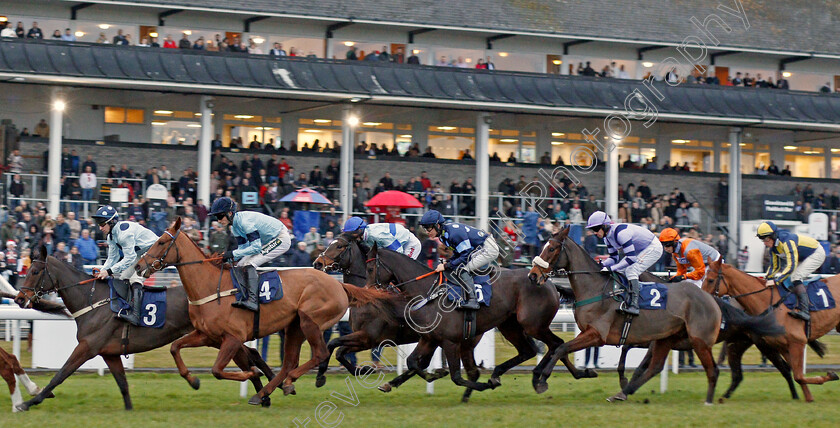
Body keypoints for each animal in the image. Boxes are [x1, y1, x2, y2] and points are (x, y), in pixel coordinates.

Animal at [13, 244, 276, 412]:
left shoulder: (87, 347)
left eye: (34, 271)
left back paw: (265, 390)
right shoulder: (109, 353)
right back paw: (267, 390)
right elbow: (122, 384)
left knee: (247, 357)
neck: (93, 300)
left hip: (218, 337)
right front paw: (129, 410)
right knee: (250, 354)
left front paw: (28, 403)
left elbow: (59, 375)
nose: (18, 299)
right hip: (215, 337)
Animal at [135, 217, 394, 404]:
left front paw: (251, 374)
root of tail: (339, 284)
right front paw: (193, 380)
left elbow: (218, 369)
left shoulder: (233, 337)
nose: (138, 266)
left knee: (319, 353)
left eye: (160, 242)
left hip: (309, 320)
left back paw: (285, 383)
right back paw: (268, 391)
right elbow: (175, 347)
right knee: (290, 361)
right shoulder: (206, 335)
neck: (209, 287)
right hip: (294, 326)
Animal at [364, 242, 592, 396]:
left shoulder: (450, 341)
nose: (366, 291)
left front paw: (480, 384)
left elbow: (456, 376)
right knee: (532, 350)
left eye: (370, 268)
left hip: (533, 324)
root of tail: (548, 281)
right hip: (510, 325)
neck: (430, 291)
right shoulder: (429, 339)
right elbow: (412, 362)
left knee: (555, 344)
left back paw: (542, 377)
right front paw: (425, 376)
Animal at [704, 260, 840, 402]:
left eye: (710, 280)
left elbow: (797, 375)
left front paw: (831, 375)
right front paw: (808, 397)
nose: (703, 298)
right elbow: (797, 375)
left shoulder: (796, 342)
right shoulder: (781, 346)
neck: (769, 304)